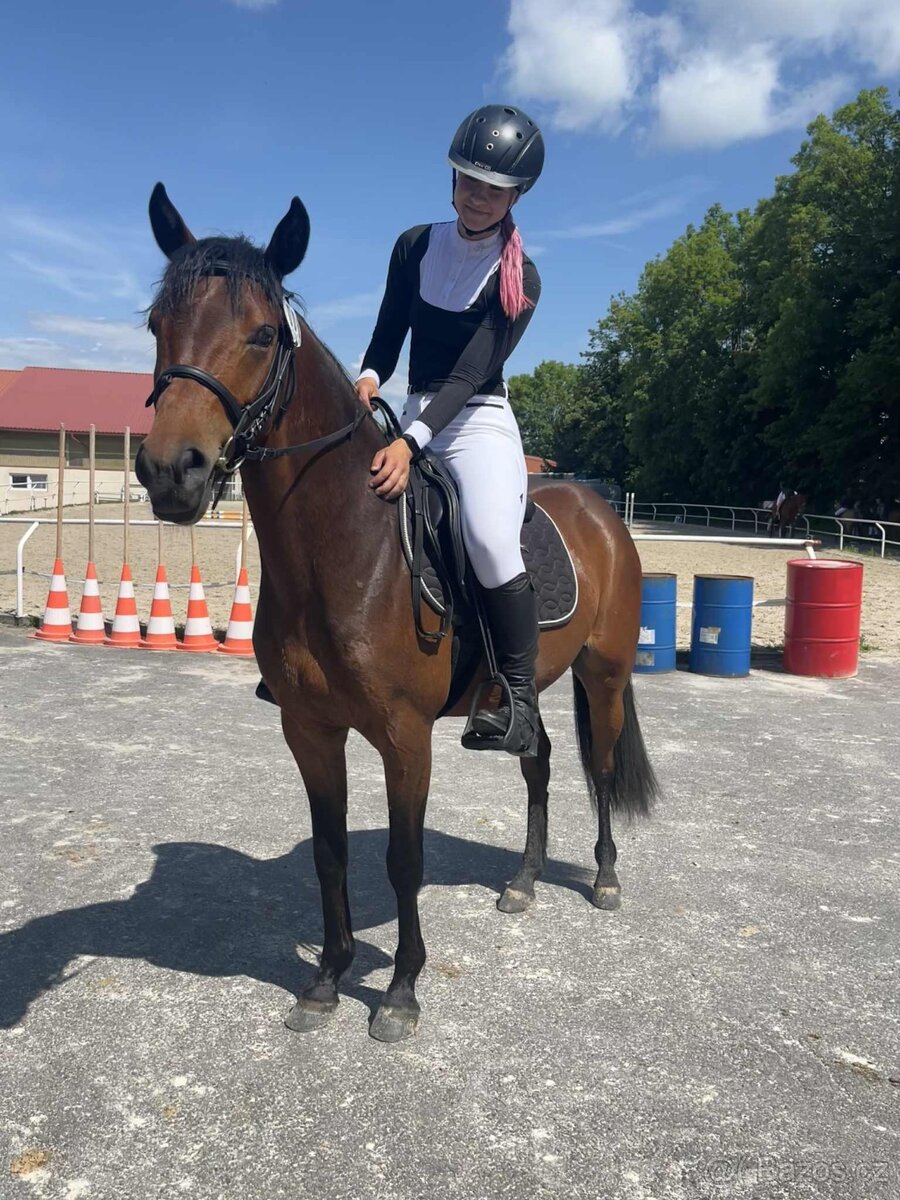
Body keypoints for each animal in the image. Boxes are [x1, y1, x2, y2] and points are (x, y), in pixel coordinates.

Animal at [135, 185, 658, 1043]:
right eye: (156, 325)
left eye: (262, 334)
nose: (171, 472)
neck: (346, 548)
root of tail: (597, 508)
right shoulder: (310, 729)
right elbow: (331, 852)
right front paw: (326, 979)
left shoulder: (404, 736)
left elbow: (402, 861)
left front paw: (401, 991)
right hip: (528, 692)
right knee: (540, 757)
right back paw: (524, 881)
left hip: (605, 675)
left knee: (602, 766)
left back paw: (606, 878)